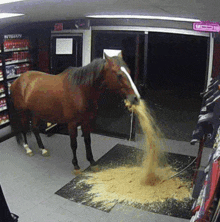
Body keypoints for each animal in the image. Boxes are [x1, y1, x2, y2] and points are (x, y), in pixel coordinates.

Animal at [9, 53, 140, 171]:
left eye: (129, 71)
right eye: (119, 75)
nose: (136, 98)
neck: (81, 90)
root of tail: (17, 81)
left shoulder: (86, 122)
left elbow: (87, 141)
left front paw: (92, 161)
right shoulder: (72, 124)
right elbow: (74, 144)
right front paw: (75, 164)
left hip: (35, 113)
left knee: (35, 128)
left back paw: (43, 149)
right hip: (23, 113)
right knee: (24, 129)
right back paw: (28, 149)